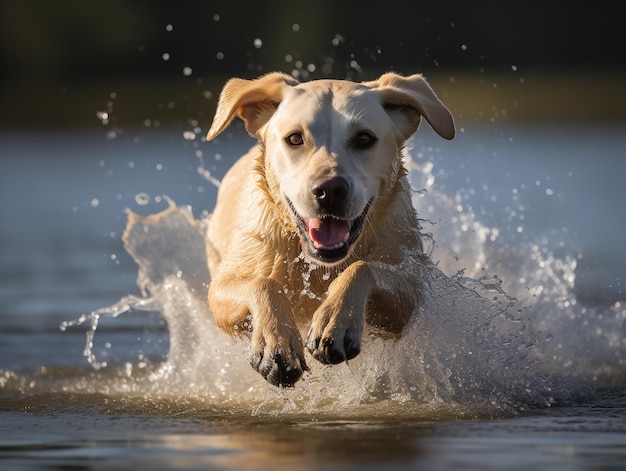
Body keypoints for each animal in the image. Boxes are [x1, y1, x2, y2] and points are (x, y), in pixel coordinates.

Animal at [205, 71, 454, 388]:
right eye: (295, 138)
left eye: (364, 138)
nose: (330, 190)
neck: (317, 266)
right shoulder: (220, 289)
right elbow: (261, 283)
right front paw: (277, 343)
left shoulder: (410, 288)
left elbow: (363, 267)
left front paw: (336, 321)